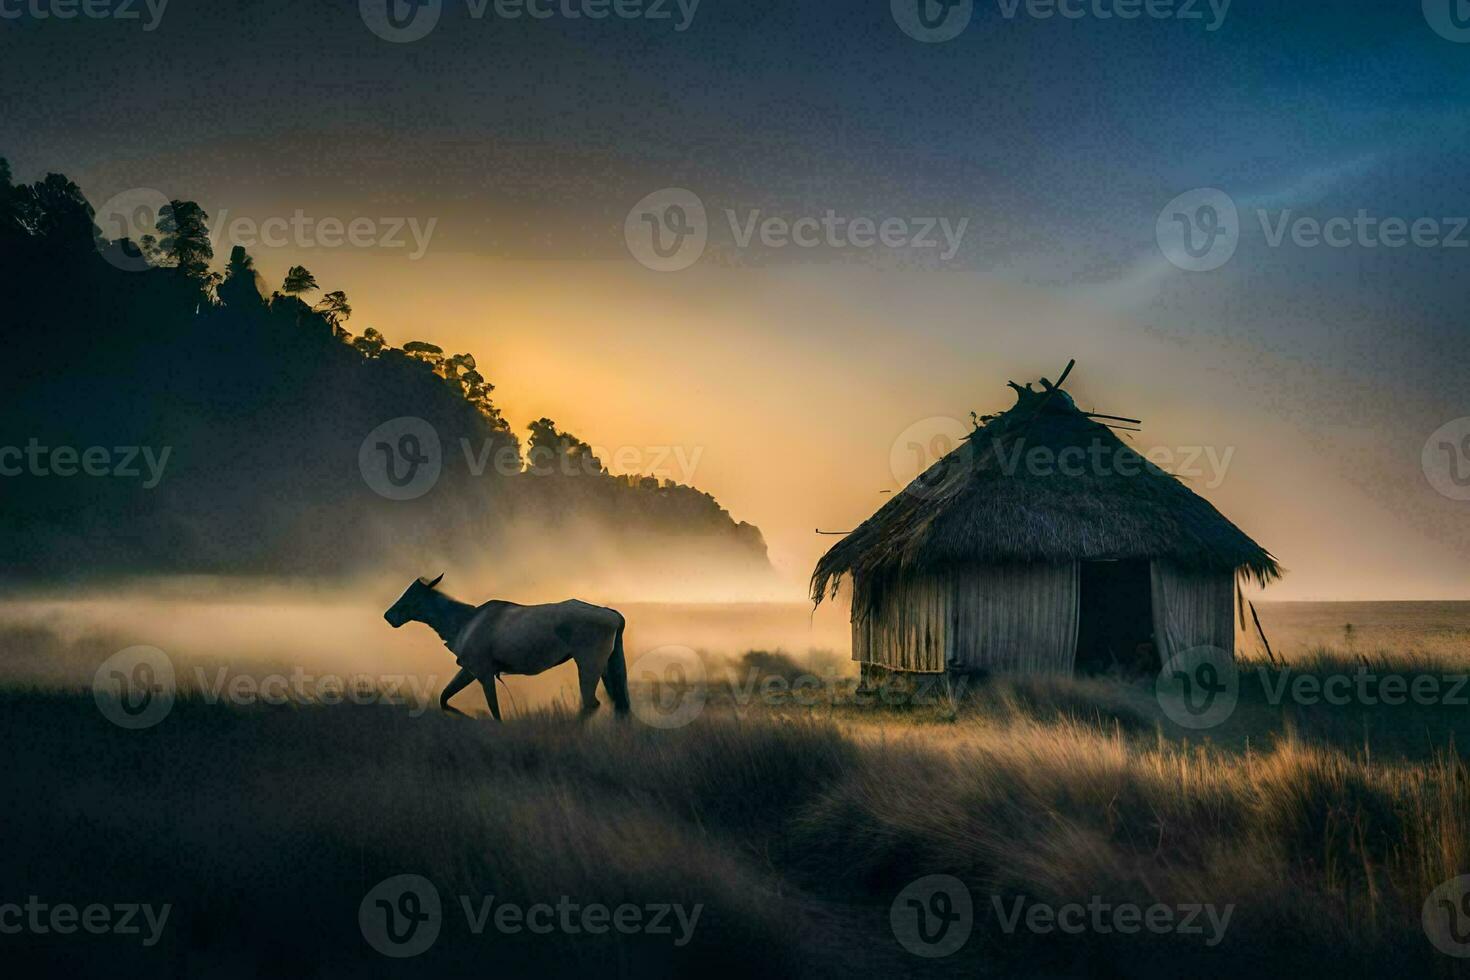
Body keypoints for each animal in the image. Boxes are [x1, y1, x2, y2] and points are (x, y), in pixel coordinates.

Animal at [382, 575, 629, 719]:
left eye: (412, 596)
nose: (388, 615)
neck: (461, 622)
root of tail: (615, 616)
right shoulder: (469, 669)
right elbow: (444, 698)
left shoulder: (483, 672)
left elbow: (494, 711)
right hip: (606, 665)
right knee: (618, 702)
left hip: (588, 663)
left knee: (591, 703)